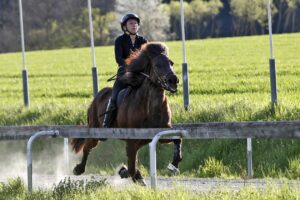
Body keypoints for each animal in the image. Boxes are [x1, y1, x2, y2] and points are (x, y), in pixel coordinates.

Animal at [71, 42, 182, 186]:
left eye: (171, 63)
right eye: (157, 65)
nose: (173, 80)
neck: (150, 107)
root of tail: (97, 97)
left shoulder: (158, 134)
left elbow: (177, 139)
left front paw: (173, 165)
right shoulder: (131, 139)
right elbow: (131, 167)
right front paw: (125, 172)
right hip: (97, 132)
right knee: (87, 148)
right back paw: (78, 169)